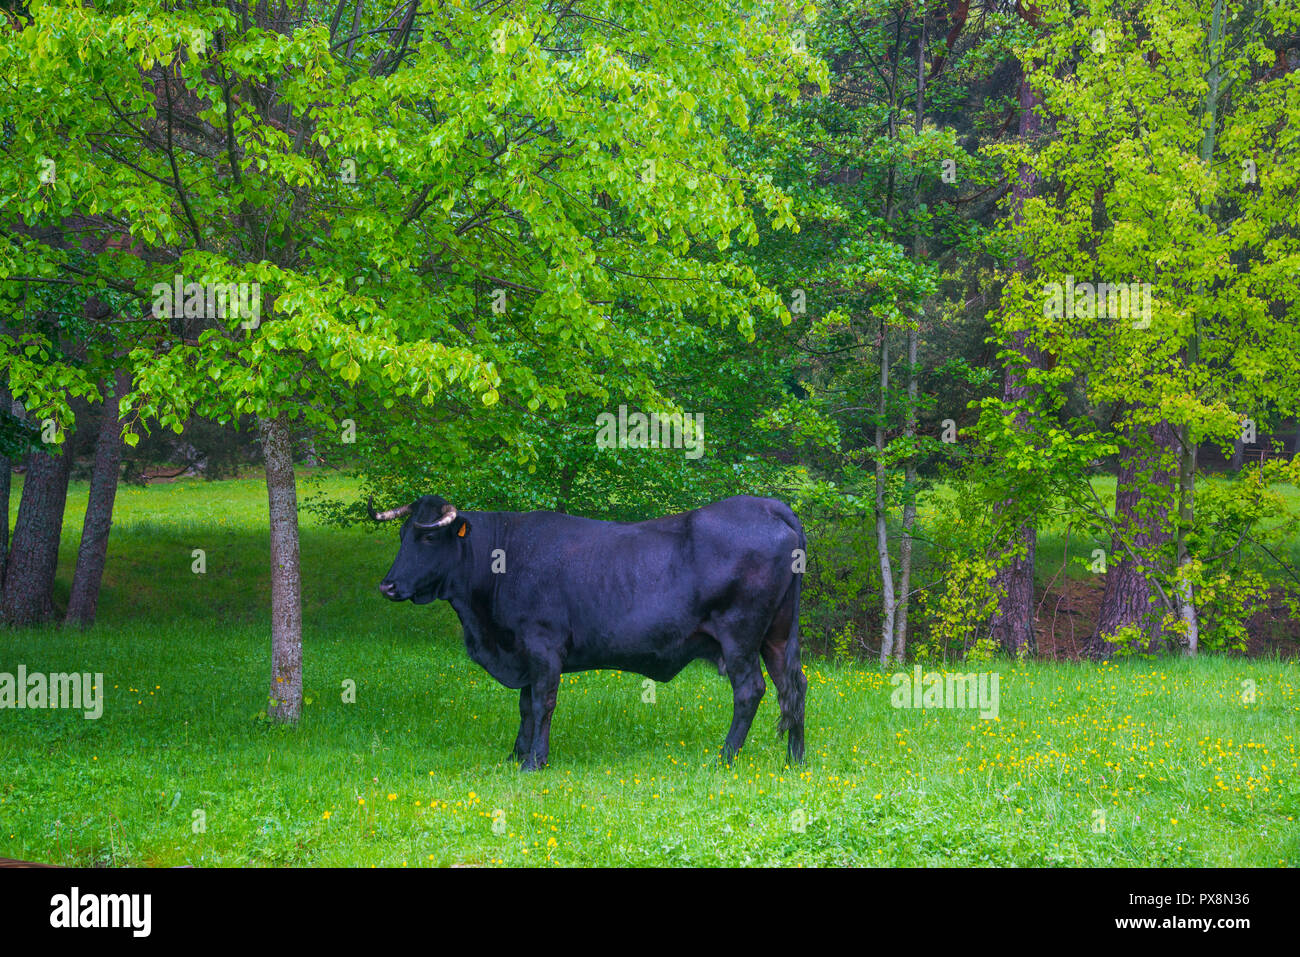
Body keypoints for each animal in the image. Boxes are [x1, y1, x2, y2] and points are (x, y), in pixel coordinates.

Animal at [371, 494, 806, 769]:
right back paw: (795, 759)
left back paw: (724, 758)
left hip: (740, 636)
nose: (387, 586)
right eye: (402, 535)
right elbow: (524, 706)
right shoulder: (524, 653)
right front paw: (515, 756)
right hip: (777, 635)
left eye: (428, 536)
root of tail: (767, 505)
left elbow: (542, 703)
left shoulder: (543, 645)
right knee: (794, 686)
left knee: (751, 690)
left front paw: (534, 761)